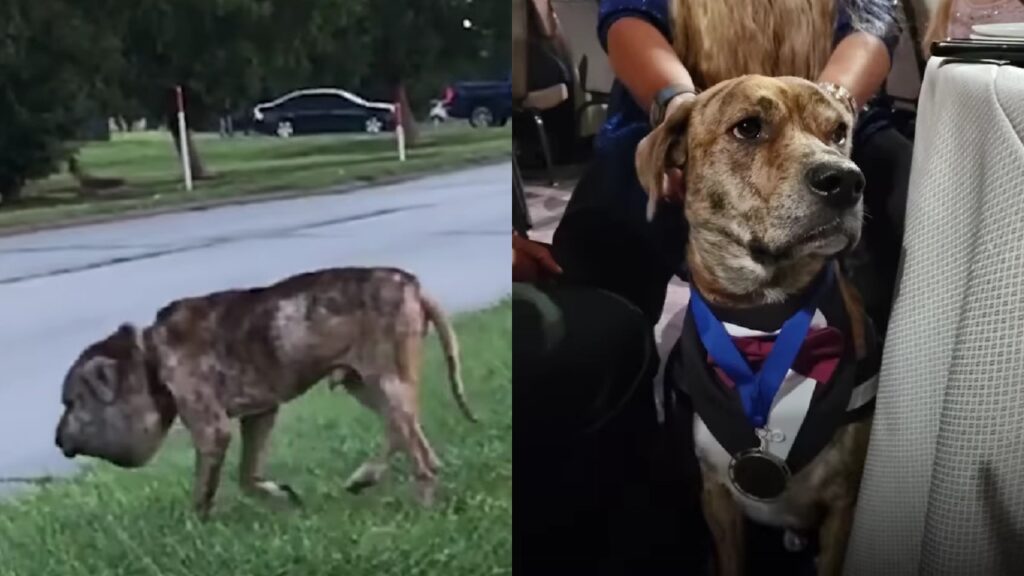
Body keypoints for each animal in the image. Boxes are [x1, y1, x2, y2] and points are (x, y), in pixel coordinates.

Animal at [58, 266, 479, 518]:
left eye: (71, 403)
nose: (57, 438)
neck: (149, 358)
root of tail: (413, 286)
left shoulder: (211, 430)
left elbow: (204, 488)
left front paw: (196, 523)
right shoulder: (259, 415)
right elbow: (247, 474)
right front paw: (279, 496)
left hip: (384, 379)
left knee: (415, 449)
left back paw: (415, 500)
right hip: (364, 383)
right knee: (407, 434)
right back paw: (370, 476)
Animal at [634, 73, 876, 569]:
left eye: (839, 132)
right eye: (748, 128)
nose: (845, 180)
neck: (766, 318)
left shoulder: (844, 503)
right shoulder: (716, 497)